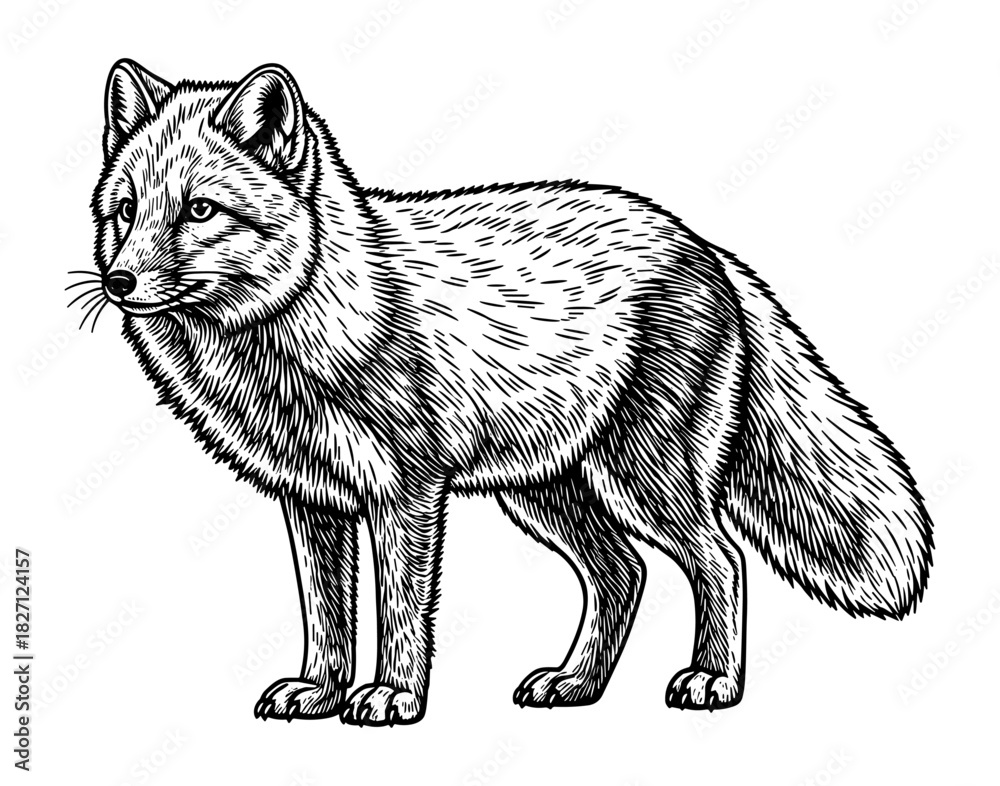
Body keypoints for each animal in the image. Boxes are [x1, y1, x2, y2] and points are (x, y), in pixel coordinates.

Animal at [85, 59, 933, 726]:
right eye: (125, 212)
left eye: (200, 210)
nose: (117, 281)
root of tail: (704, 243)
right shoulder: (314, 500)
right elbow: (328, 617)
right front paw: (320, 693)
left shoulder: (407, 493)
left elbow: (398, 610)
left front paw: (394, 697)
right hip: (546, 492)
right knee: (624, 575)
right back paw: (577, 684)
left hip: (643, 481)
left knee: (720, 562)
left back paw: (712, 680)